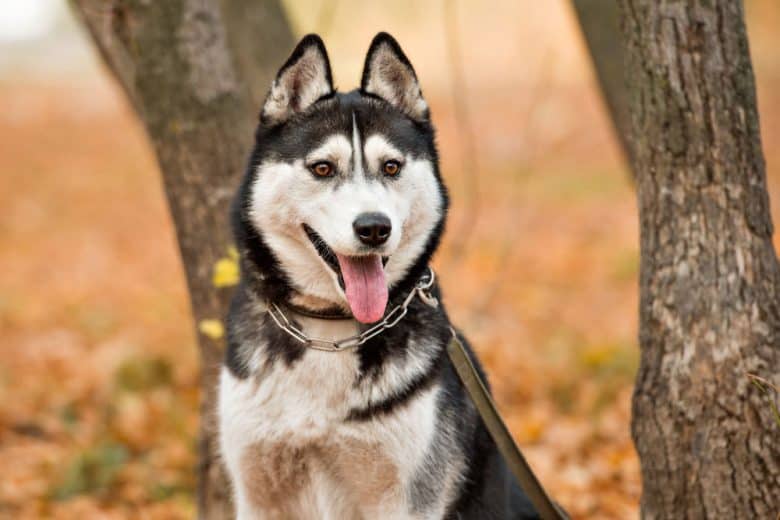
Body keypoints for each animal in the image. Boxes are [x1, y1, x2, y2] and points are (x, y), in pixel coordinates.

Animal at [216, 33, 540, 520]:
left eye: (391, 167)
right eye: (323, 168)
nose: (373, 227)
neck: (329, 333)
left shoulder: (409, 499)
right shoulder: (258, 494)